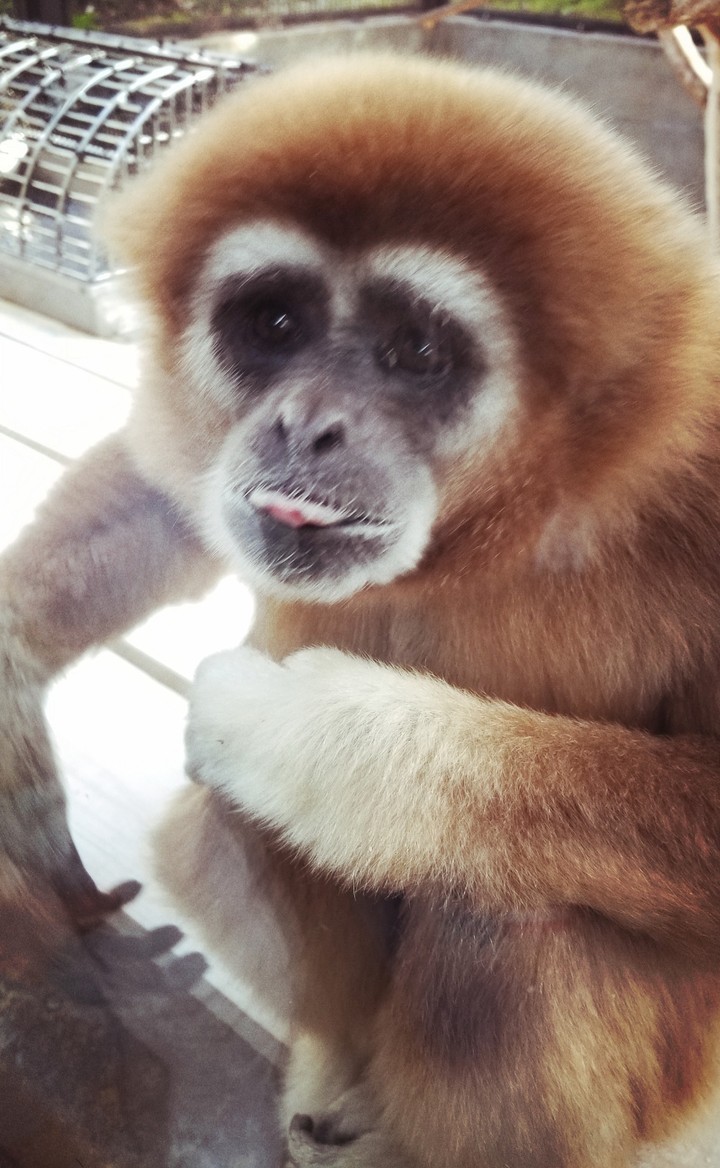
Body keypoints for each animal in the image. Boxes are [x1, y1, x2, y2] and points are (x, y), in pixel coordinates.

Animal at [3, 48, 720, 1168]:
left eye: (416, 351)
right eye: (276, 324)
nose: (305, 424)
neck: (500, 528)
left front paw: (316, 737)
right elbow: (168, 487)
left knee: (509, 927)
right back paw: (337, 1072)